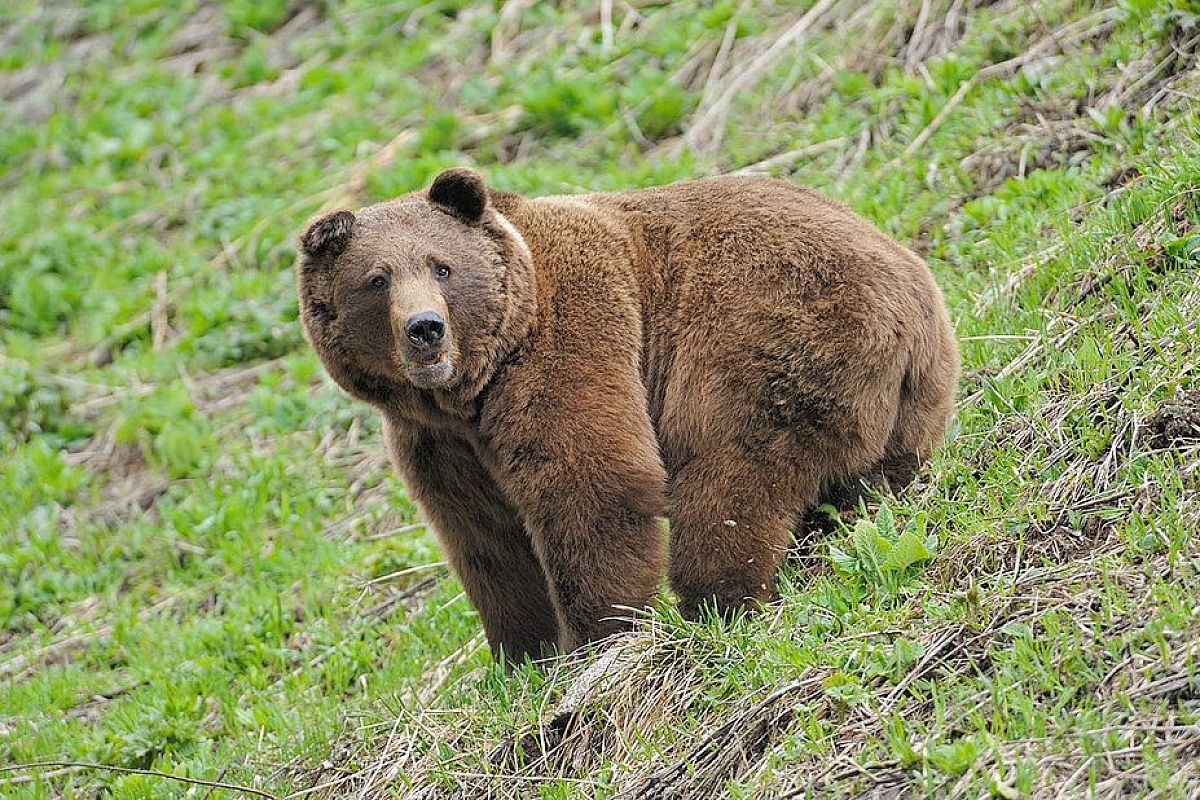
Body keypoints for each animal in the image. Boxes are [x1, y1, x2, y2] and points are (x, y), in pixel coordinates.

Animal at [297, 167, 955, 662]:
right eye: (376, 280)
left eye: (441, 265)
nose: (425, 329)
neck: (469, 390)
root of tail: (911, 297)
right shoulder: (435, 443)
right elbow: (486, 539)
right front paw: (521, 657)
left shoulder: (568, 344)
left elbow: (592, 486)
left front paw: (599, 637)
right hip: (906, 409)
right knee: (856, 489)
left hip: (767, 337)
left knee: (730, 477)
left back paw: (716, 603)